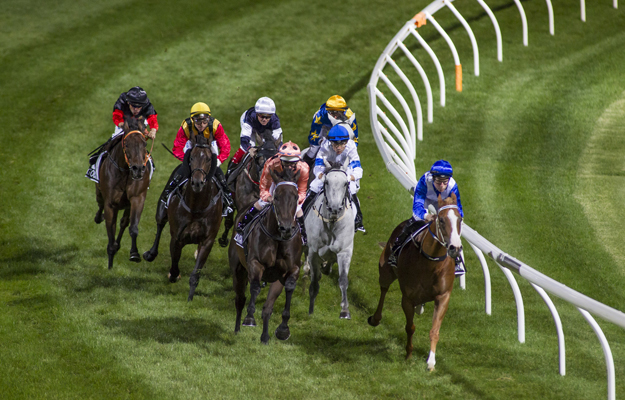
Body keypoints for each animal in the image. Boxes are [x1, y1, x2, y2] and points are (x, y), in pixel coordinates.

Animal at [95, 117, 154, 270]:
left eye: (145, 143)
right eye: (126, 144)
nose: (138, 169)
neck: (126, 172)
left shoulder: (137, 198)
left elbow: (132, 227)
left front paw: (134, 253)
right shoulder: (110, 203)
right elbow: (110, 228)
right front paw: (110, 263)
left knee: (123, 222)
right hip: (99, 192)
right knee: (100, 205)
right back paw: (99, 217)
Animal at [163, 134, 222, 300]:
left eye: (208, 159)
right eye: (191, 157)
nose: (197, 182)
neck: (197, 207)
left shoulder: (207, 241)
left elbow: (196, 274)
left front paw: (190, 298)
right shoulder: (177, 237)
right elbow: (174, 265)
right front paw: (173, 275)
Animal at [230, 166, 304, 344]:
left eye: (296, 196)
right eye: (276, 197)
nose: (286, 228)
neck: (278, 238)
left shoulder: (292, 268)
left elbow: (289, 287)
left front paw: (283, 329)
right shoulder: (255, 264)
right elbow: (255, 287)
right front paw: (249, 318)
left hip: (275, 280)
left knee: (267, 308)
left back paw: (264, 337)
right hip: (238, 268)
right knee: (240, 299)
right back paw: (237, 329)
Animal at [304, 159, 354, 318]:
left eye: (346, 183)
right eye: (326, 182)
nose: (334, 208)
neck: (332, 223)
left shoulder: (344, 251)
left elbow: (343, 280)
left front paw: (345, 311)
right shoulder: (313, 251)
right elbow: (314, 282)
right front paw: (310, 310)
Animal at [366, 192, 464, 370]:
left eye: (459, 219)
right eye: (441, 220)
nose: (455, 248)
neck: (430, 263)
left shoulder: (443, 296)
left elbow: (434, 330)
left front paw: (431, 362)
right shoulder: (407, 298)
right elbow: (410, 327)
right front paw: (409, 354)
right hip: (385, 270)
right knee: (383, 289)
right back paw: (375, 319)